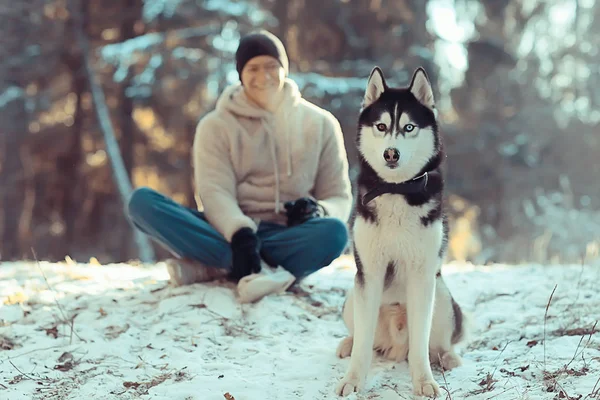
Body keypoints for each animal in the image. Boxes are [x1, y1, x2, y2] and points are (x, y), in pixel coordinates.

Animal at [336, 66, 466, 396]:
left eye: (409, 127)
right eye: (381, 126)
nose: (391, 154)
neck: (395, 191)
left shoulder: (422, 274)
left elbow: (420, 344)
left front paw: (424, 382)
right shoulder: (368, 272)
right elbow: (363, 344)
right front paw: (352, 380)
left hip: (440, 294)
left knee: (437, 343)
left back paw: (447, 356)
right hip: (351, 297)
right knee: (362, 335)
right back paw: (348, 342)